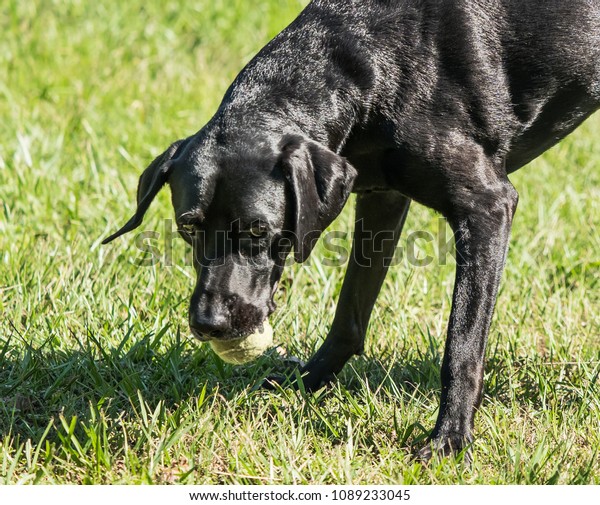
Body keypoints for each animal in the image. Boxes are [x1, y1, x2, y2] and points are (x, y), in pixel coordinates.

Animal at [104, 0, 600, 458]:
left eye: (259, 232)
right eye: (188, 229)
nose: (209, 324)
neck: (367, 65)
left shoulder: (487, 206)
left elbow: (462, 344)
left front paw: (450, 438)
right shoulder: (381, 197)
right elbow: (350, 311)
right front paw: (308, 381)